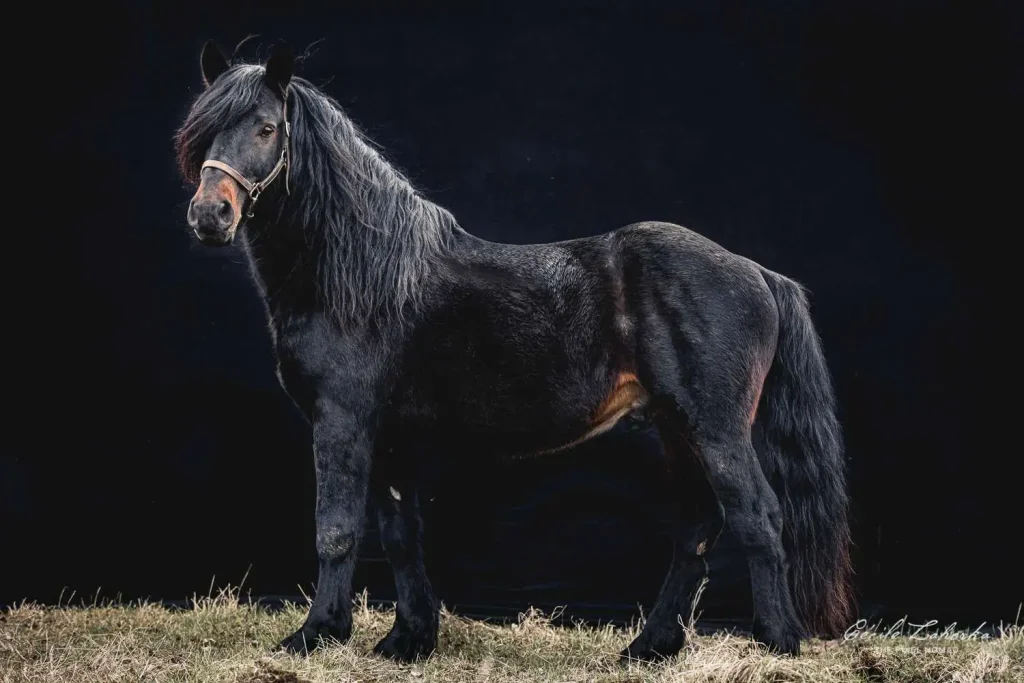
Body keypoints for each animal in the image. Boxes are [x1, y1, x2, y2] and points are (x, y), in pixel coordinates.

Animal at [174, 40, 854, 663]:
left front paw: (315, 634)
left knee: (759, 517)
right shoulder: (390, 439)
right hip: (676, 428)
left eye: (267, 127)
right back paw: (648, 647)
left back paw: (779, 643)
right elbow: (399, 534)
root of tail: (756, 272)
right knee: (697, 528)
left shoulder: (342, 424)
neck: (365, 278)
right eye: (202, 130)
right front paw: (407, 640)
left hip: (716, 431)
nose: (211, 215)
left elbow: (336, 531)